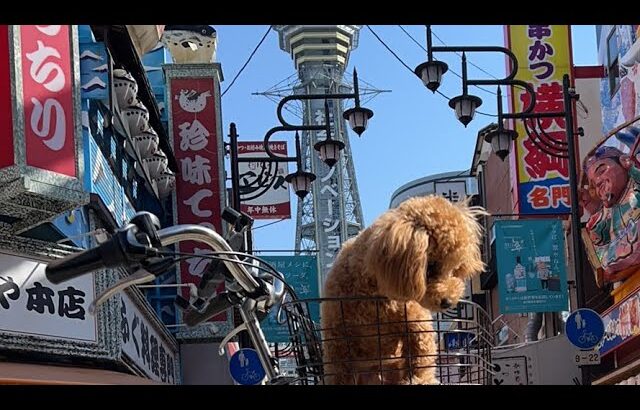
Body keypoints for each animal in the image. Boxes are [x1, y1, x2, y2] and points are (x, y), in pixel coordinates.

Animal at [320, 195, 484, 384]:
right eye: (430, 268)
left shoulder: (416, 323)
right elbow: (339, 371)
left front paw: (420, 380)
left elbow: (422, 357)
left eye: (455, 268)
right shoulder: (337, 339)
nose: (448, 302)